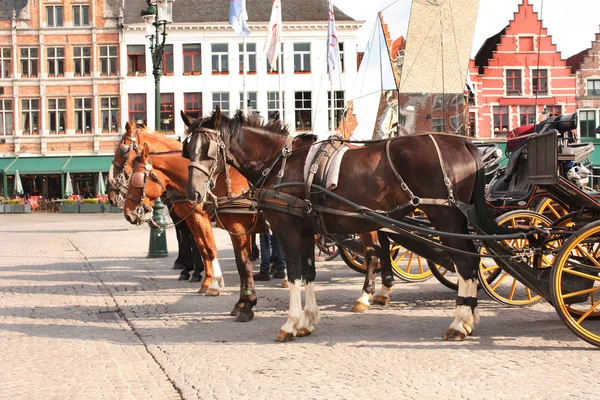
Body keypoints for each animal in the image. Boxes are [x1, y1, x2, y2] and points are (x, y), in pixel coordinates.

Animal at [184, 108, 510, 340]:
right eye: (187, 150)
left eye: (209, 151)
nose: (194, 194)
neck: (280, 164)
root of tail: (463, 142)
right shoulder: (307, 229)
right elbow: (309, 273)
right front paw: (308, 320)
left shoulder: (287, 229)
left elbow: (293, 272)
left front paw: (290, 323)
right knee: (467, 258)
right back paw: (468, 315)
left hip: (444, 216)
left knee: (464, 261)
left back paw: (459, 321)